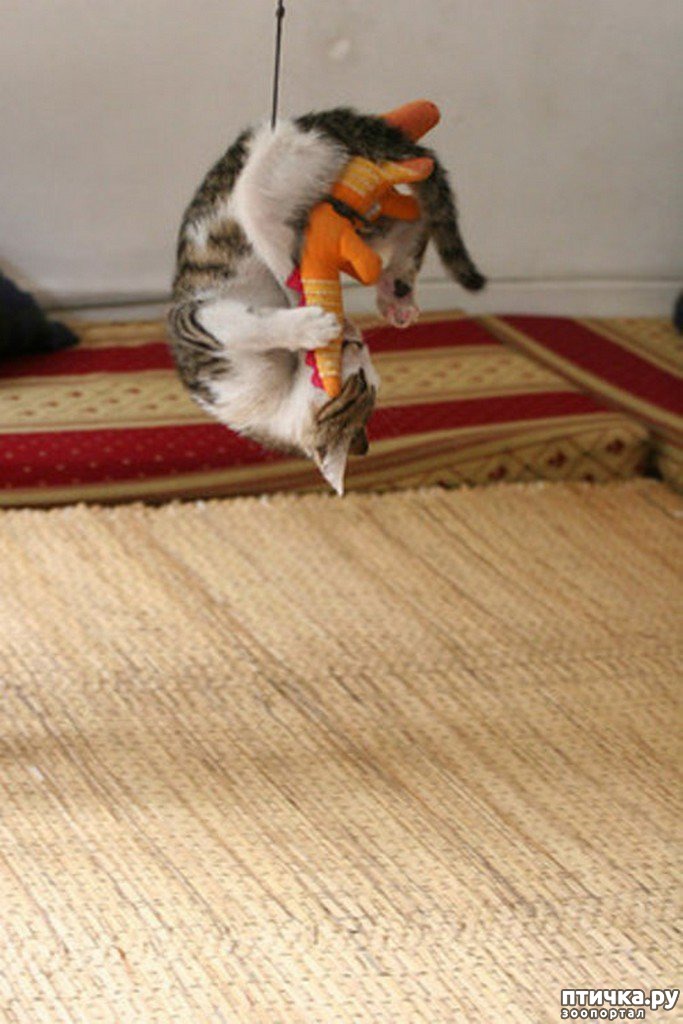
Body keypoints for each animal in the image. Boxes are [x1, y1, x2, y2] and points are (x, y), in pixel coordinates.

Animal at [167, 106, 485, 493]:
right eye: (364, 381)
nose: (357, 340)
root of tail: (313, 120)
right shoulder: (190, 321)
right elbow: (243, 324)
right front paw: (313, 325)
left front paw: (313, 323)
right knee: (409, 218)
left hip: (301, 173)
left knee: (409, 217)